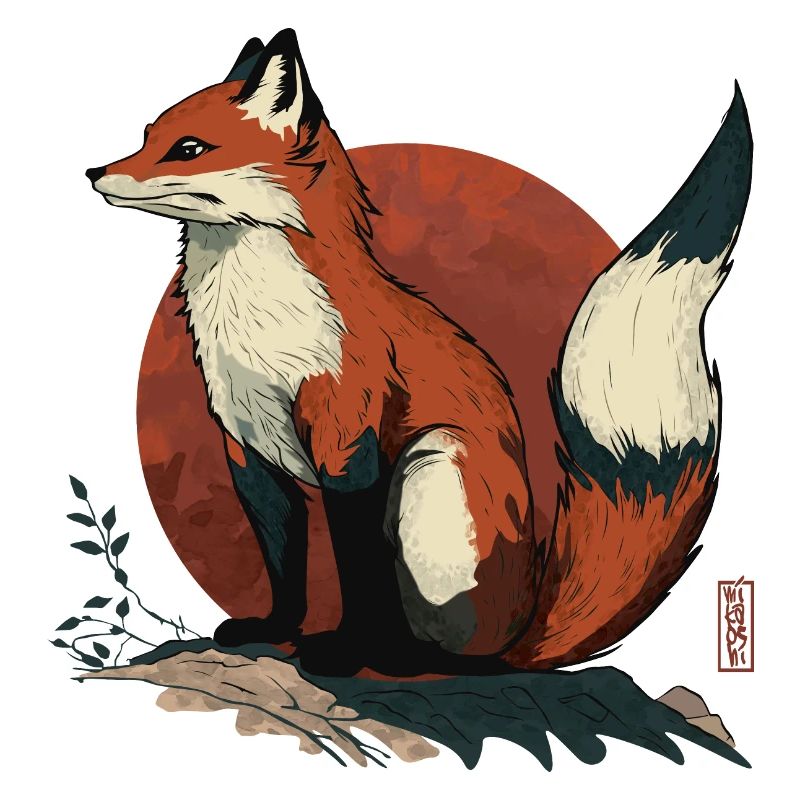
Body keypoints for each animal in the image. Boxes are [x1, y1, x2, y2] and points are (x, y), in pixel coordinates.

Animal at [86, 29, 752, 676]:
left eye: (189, 149)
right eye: (146, 137)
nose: (94, 171)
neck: (256, 329)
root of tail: (524, 629)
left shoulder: (347, 446)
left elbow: (356, 570)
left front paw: (343, 653)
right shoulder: (248, 450)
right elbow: (283, 563)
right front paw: (274, 630)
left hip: (429, 468)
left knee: (459, 655)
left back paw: (399, 657)